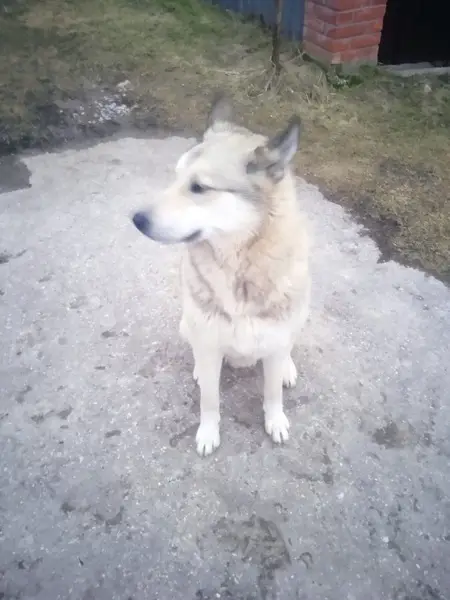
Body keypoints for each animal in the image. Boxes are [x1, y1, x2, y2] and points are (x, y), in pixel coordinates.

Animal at [131, 95, 311, 456]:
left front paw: (275, 420)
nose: (137, 220)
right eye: (175, 177)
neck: (240, 267)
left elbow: (273, 393)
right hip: (187, 325)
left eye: (199, 187)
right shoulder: (209, 344)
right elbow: (209, 401)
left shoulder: (276, 341)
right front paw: (208, 431)